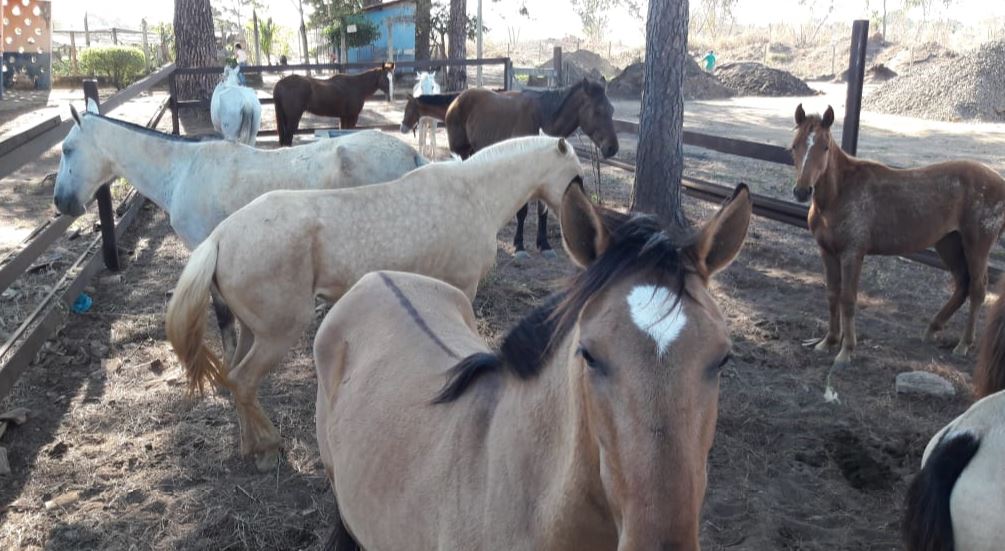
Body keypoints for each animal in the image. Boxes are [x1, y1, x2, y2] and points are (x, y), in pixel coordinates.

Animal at [164, 134, 586, 468]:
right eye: (576, 176)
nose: (579, 222)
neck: (473, 194)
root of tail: (219, 238)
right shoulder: (462, 289)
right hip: (277, 334)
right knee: (243, 380)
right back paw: (268, 449)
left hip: (254, 331)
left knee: (235, 378)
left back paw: (250, 448)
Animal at [448, 77, 619, 261]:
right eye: (598, 111)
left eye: (611, 110)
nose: (612, 148)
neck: (541, 120)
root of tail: (457, 100)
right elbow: (523, 212)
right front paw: (519, 246)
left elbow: (542, 211)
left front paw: (544, 245)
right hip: (463, 153)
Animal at [791, 103, 1005, 370]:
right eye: (795, 145)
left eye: (825, 147)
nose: (802, 191)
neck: (838, 195)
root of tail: (999, 181)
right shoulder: (827, 251)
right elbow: (832, 295)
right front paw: (828, 342)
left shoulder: (853, 254)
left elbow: (848, 299)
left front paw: (846, 351)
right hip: (949, 244)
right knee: (962, 283)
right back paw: (932, 329)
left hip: (977, 246)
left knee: (977, 289)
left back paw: (963, 345)